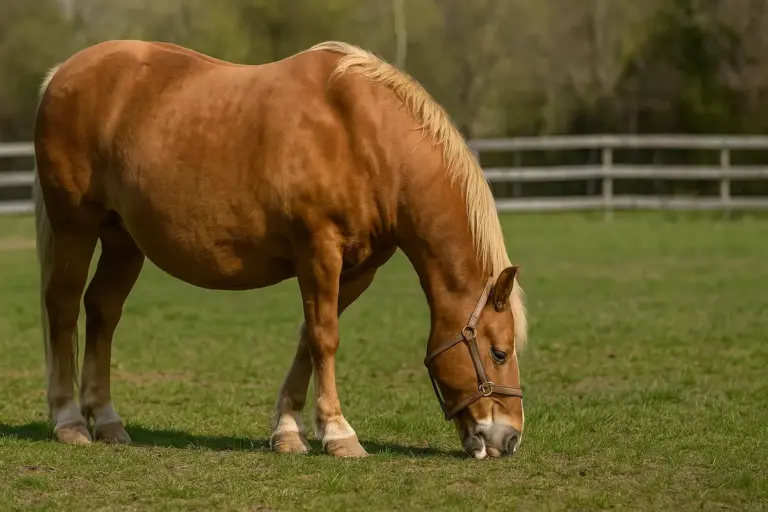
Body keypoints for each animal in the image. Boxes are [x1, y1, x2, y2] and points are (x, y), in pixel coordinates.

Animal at [33, 39, 528, 459]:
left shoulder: (355, 270)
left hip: (123, 241)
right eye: (499, 353)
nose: (509, 438)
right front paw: (339, 434)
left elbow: (309, 337)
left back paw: (107, 421)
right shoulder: (318, 251)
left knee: (102, 311)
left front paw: (289, 431)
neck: (362, 137)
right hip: (75, 226)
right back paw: (69, 421)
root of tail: (62, 73)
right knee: (63, 308)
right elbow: (325, 337)